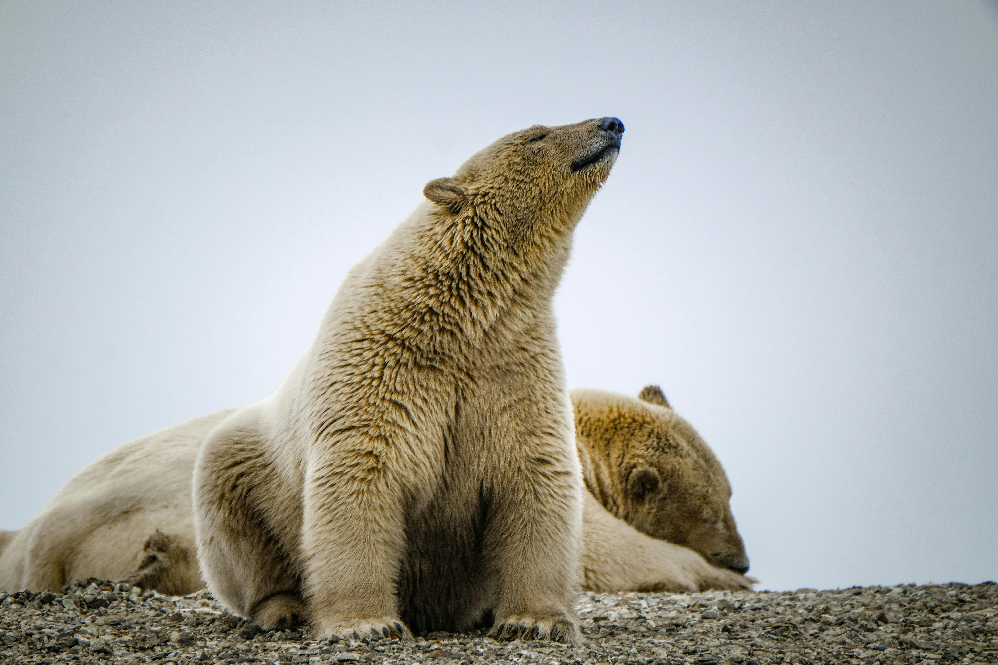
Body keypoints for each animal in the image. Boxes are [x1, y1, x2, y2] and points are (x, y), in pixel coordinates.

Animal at [0, 387, 752, 600]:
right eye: (714, 510)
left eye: (731, 493)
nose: (742, 557)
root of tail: (52, 525)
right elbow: (603, 550)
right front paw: (717, 577)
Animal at [189, 117, 628, 643]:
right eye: (537, 135)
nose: (613, 123)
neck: (460, 317)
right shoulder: (380, 369)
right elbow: (362, 472)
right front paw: (366, 624)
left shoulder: (513, 370)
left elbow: (536, 474)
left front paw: (533, 622)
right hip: (248, 465)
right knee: (236, 521)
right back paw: (284, 608)